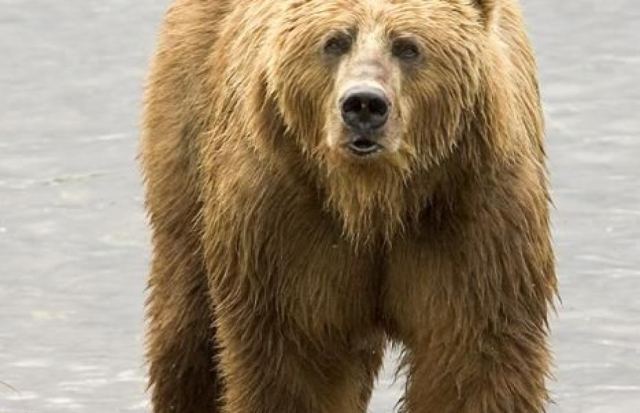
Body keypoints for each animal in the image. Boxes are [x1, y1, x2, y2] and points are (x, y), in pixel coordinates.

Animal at [140, 0, 557, 412]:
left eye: (407, 47)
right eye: (336, 41)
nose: (364, 104)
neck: (372, 200)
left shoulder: (471, 217)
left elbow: (474, 358)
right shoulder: (286, 224)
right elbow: (292, 362)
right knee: (187, 326)